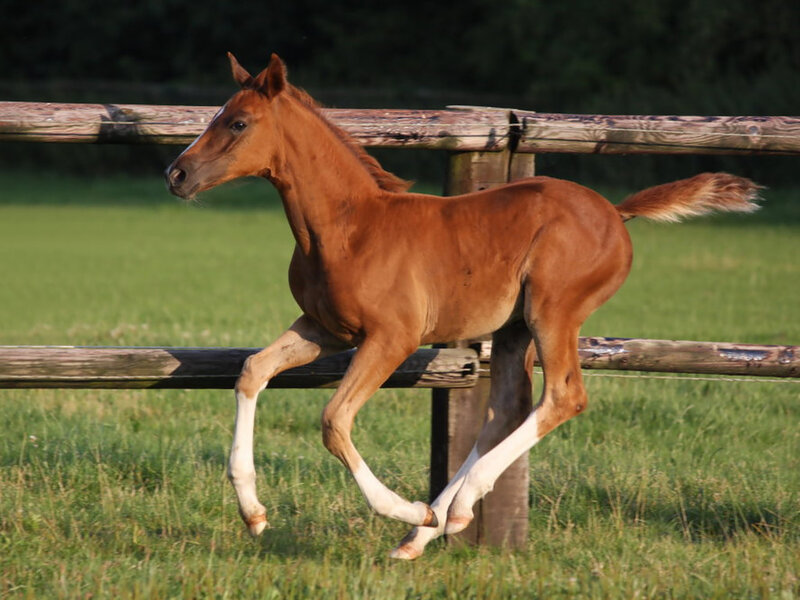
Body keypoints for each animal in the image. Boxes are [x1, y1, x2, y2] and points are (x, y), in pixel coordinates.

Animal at [165, 53, 760, 559]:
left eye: (238, 123)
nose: (177, 174)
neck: (347, 227)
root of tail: (616, 212)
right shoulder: (323, 329)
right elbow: (251, 370)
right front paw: (254, 514)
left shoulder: (392, 338)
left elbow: (334, 420)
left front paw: (403, 507)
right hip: (515, 328)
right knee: (504, 411)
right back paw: (427, 531)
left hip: (553, 312)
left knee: (564, 396)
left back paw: (447, 510)